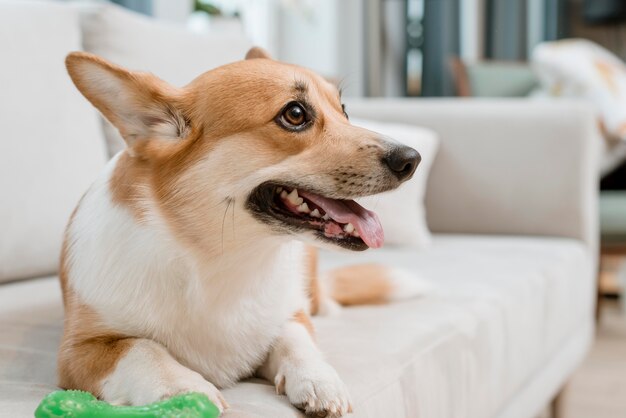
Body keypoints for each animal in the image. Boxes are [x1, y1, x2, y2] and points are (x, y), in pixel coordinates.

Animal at [57, 47, 420, 416]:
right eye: (295, 114)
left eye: (344, 110)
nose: (411, 160)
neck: (224, 259)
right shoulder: (79, 351)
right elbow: (143, 350)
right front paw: (185, 391)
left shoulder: (292, 314)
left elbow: (296, 340)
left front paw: (319, 380)